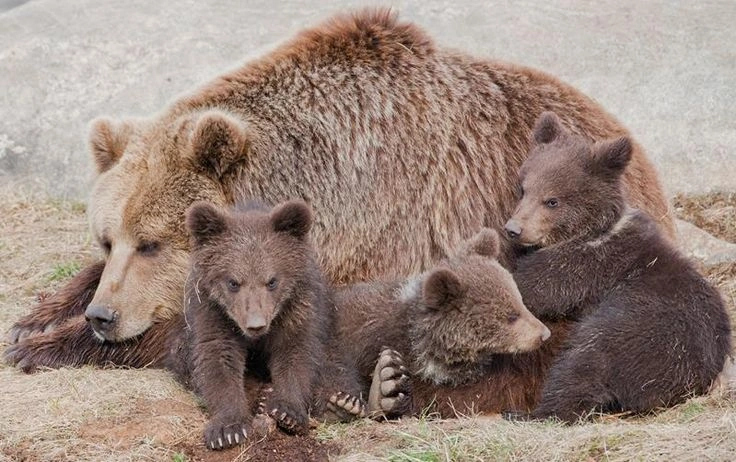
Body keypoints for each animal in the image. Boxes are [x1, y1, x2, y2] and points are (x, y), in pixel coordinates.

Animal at [174, 199, 365, 449]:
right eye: (233, 282)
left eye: (272, 281)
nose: (256, 324)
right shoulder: (211, 311)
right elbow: (217, 359)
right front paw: (228, 429)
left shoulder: (299, 307)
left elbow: (295, 354)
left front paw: (288, 412)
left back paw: (343, 402)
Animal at [502, 112, 732, 423]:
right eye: (523, 188)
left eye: (552, 200)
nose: (513, 229)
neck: (591, 231)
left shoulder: (586, 265)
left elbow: (531, 287)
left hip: (635, 332)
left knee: (583, 364)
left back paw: (527, 412)